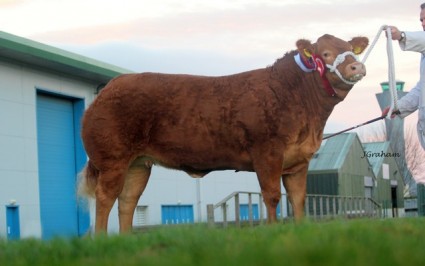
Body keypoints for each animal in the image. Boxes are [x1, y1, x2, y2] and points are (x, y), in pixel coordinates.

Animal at [79, 33, 368, 233]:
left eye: (350, 50)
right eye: (326, 53)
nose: (357, 67)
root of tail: (109, 87)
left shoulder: (298, 162)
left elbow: (298, 199)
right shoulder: (267, 153)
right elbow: (272, 196)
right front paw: (273, 232)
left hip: (138, 164)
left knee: (127, 201)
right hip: (113, 159)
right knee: (106, 198)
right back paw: (102, 241)